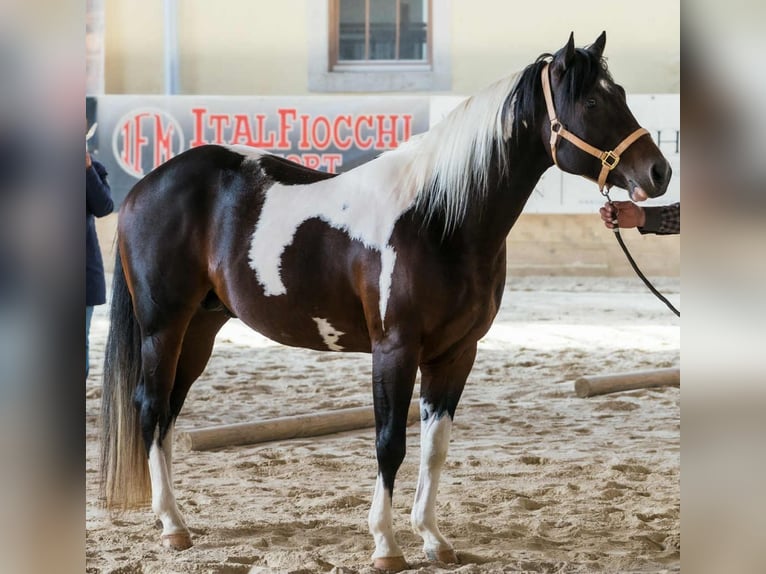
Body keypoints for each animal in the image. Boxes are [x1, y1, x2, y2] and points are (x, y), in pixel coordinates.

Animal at [99, 32, 671, 571]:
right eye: (592, 102)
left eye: (620, 93)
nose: (658, 172)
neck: (438, 218)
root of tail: (146, 186)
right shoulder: (394, 349)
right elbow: (390, 442)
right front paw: (386, 546)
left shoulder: (456, 353)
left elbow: (435, 447)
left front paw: (435, 541)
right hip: (163, 327)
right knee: (150, 406)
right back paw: (172, 527)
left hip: (199, 330)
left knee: (168, 415)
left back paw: (174, 518)